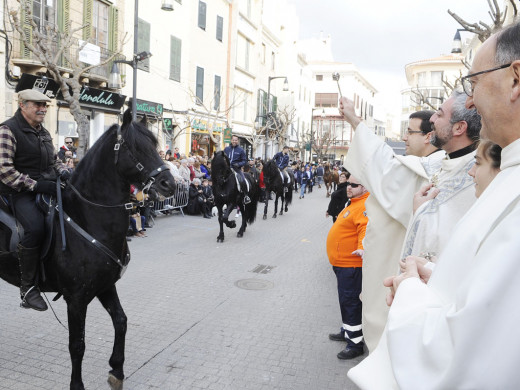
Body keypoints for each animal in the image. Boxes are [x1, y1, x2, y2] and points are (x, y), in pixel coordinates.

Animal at [0, 110, 175, 390]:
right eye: (136, 147)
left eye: (155, 145)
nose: (169, 184)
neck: (87, 218)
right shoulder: (76, 299)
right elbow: (77, 345)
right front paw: (77, 384)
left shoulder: (105, 286)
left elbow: (121, 321)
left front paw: (117, 369)